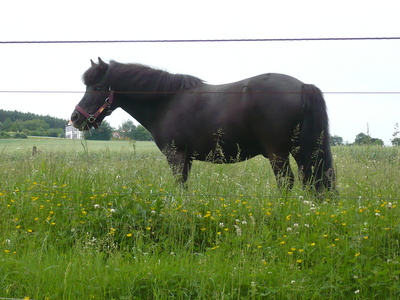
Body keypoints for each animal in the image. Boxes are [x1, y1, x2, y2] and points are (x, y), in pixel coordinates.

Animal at [71, 57, 334, 191]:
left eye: (96, 87)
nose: (75, 118)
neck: (167, 100)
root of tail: (302, 85)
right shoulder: (186, 158)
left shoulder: (176, 156)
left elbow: (180, 187)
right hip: (301, 151)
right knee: (311, 180)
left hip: (277, 153)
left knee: (286, 182)